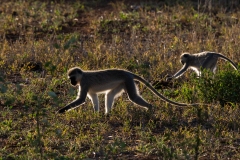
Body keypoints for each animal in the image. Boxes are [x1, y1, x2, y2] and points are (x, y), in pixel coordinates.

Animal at [56, 67, 199, 114]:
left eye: (72, 78)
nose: (72, 82)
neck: (82, 76)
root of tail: (128, 72)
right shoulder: (87, 88)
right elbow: (94, 99)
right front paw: (96, 114)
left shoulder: (85, 83)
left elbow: (81, 100)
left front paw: (61, 110)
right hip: (122, 83)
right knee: (109, 94)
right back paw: (107, 114)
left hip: (128, 81)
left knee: (133, 97)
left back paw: (150, 107)